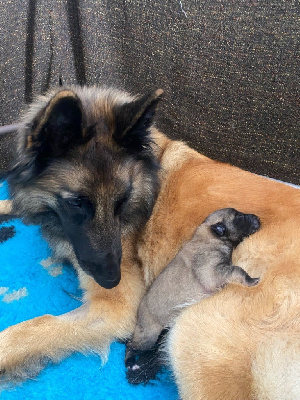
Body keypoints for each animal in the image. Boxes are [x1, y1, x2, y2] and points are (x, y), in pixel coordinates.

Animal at [125, 208, 258, 360]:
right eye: (240, 217)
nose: (257, 218)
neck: (211, 236)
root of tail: (138, 317)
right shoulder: (213, 273)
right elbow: (237, 270)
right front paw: (251, 280)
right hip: (147, 335)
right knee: (131, 346)